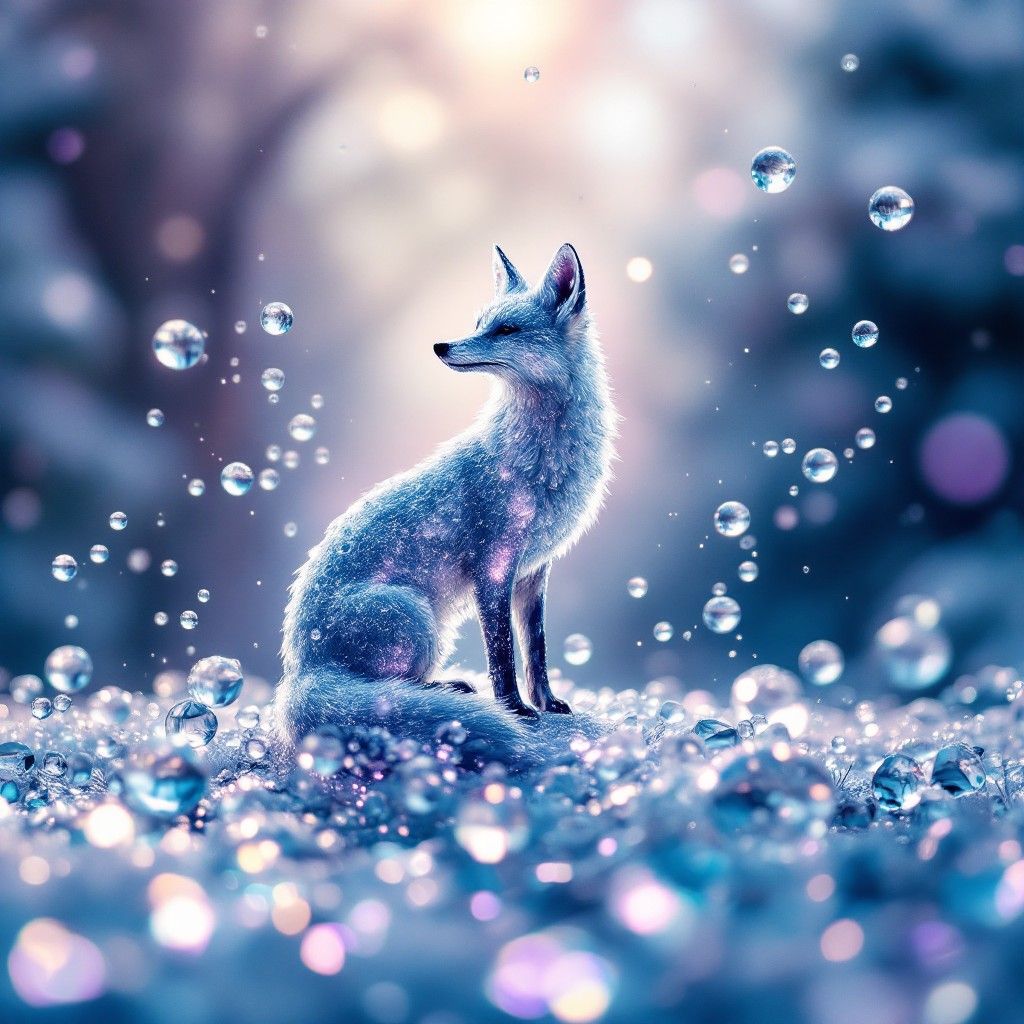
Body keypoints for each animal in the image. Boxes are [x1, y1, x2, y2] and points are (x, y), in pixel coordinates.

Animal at [273, 242, 616, 767]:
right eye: (478, 323)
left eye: (506, 330)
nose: (440, 346)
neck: (537, 456)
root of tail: (301, 669)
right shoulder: (492, 566)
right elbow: (502, 656)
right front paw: (515, 711)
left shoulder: (534, 570)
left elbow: (535, 650)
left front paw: (546, 702)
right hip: (417, 619)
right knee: (388, 692)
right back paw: (445, 692)